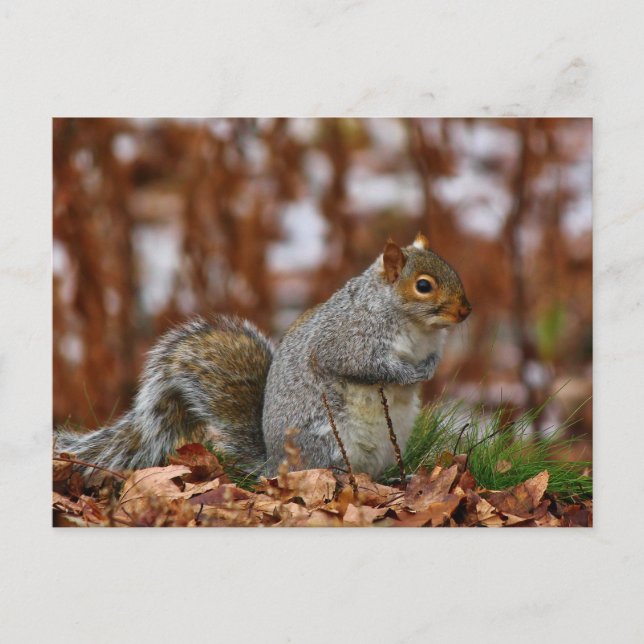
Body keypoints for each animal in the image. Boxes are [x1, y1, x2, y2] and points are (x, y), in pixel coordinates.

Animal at [56, 234, 471, 479]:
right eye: (423, 286)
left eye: (454, 270)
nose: (466, 311)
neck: (417, 328)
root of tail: (272, 464)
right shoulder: (349, 338)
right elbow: (361, 365)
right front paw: (408, 373)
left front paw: (429, 368)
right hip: (327, 439)